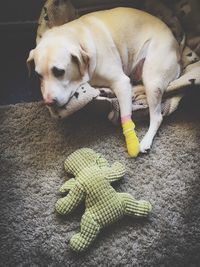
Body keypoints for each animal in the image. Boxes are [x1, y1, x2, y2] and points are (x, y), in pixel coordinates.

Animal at [27, 7, 180, 155]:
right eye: (39, 75)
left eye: (59, 71)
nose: (48, 102)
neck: (78, 39)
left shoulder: (121, 82)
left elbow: (125, 115)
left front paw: (132, 143)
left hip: (152, 79)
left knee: (157, 117)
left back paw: (145, 141)